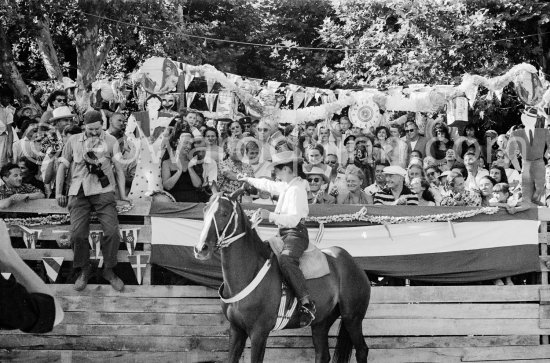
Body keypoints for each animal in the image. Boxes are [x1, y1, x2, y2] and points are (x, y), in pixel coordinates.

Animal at [194, 192, 370, 362]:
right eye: (205, 210)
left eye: (224, 213)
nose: (201, 248)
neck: (249, 273)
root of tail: (353, 263)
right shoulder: (236, 330)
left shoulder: (259, 332)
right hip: (321, 322)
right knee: (322, 354)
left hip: (352, 318)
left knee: (362, 350)